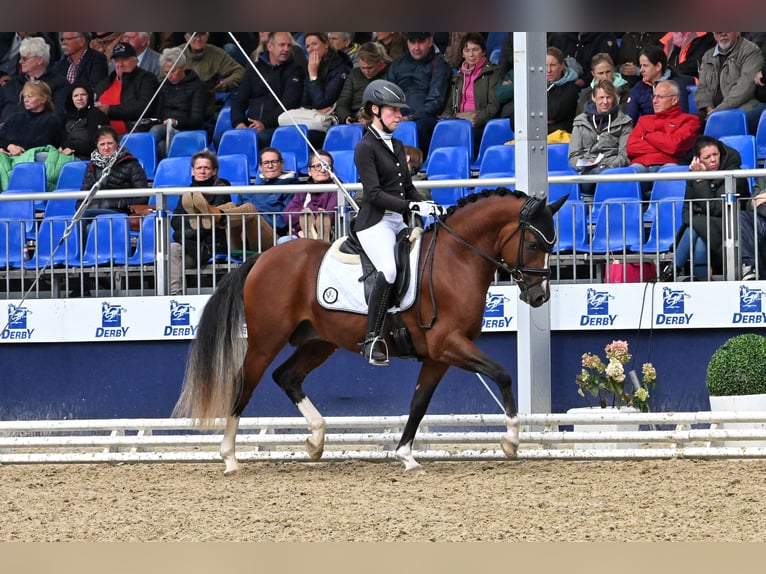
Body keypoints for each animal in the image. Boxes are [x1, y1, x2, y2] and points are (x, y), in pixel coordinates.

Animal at [176, 189, 568, 476]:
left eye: (552, 245)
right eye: (534, 245)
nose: (539, 296)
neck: (456, 259)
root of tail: (263, 257)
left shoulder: (438, 355)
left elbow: (419, 403)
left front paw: (406, 455)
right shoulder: (449, 344)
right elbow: (502, 374)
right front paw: (511, 440)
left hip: (319, 342)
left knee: (285, 376)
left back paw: (316, 441)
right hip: (265, 340)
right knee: (245, 383)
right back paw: (229, 457)